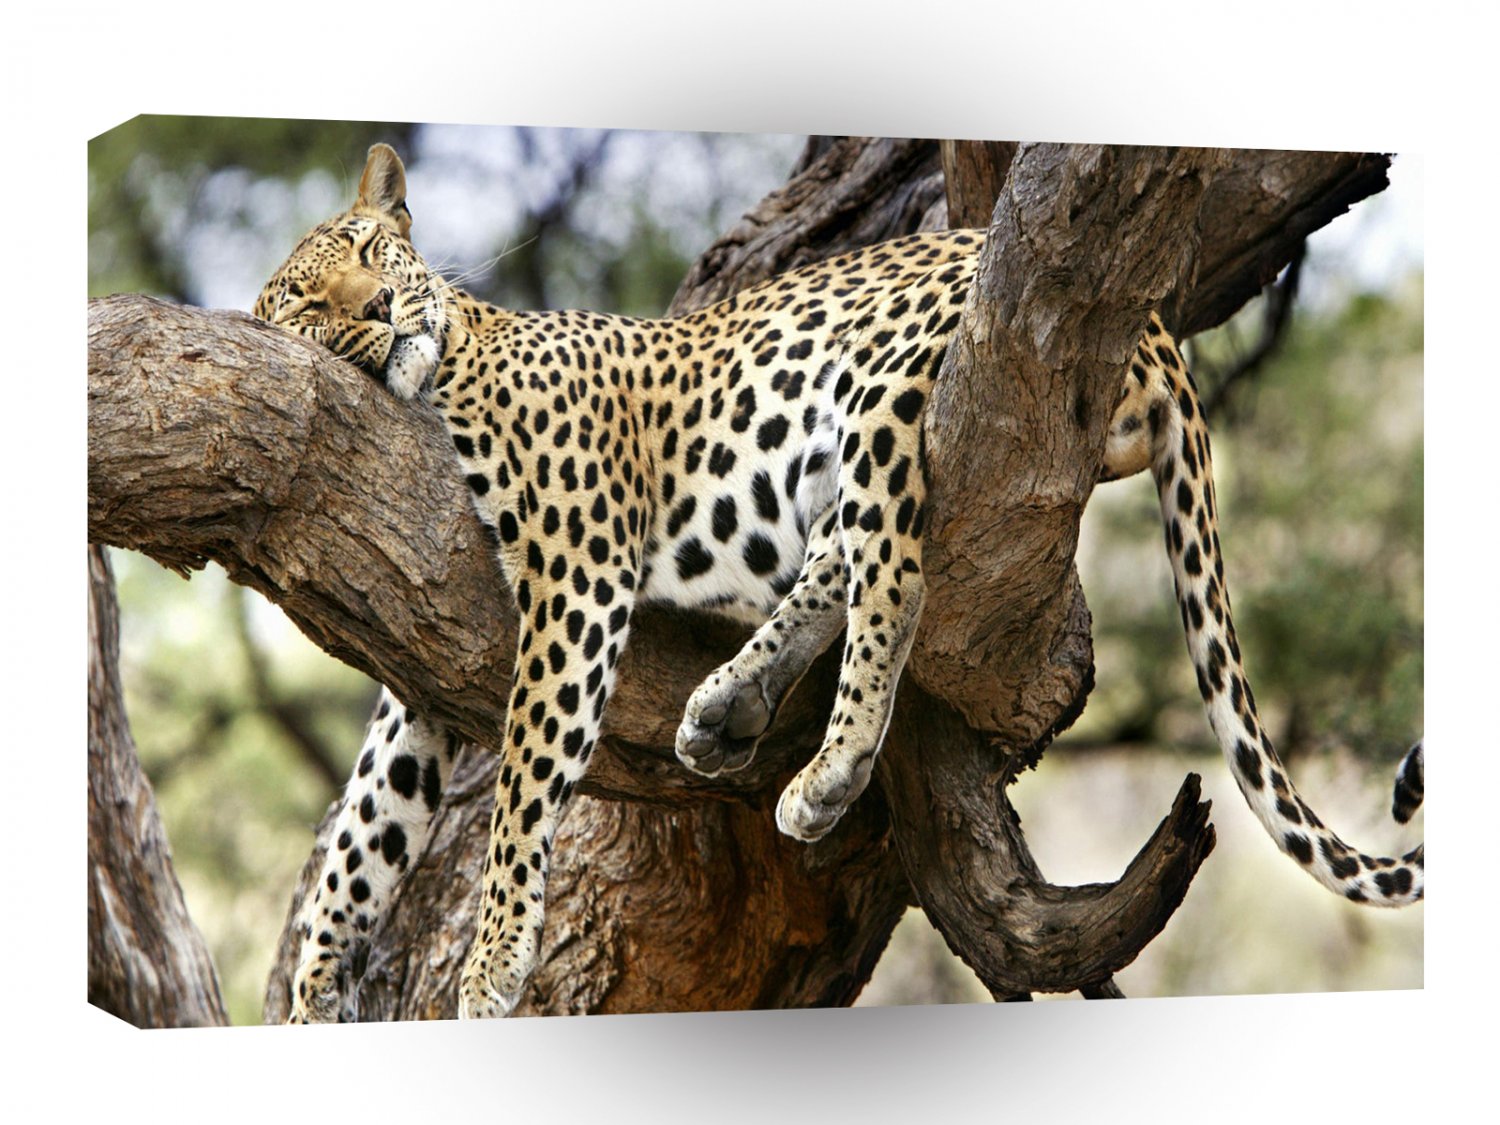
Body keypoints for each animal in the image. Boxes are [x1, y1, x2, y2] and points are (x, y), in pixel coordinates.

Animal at [255, 143, 1424, 1023]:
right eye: (310, 302)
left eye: (372, 252)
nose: (381, 308)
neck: (443, 372)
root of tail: (1156, 328)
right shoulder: (427, 638)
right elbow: (368, 819)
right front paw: (316, 978)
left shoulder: (576, 569)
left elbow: (524, 782)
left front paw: (494, 960)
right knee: (842, 558)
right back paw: (730, 704)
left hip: (880, 383)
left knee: (896, 580)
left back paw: (826, 770)